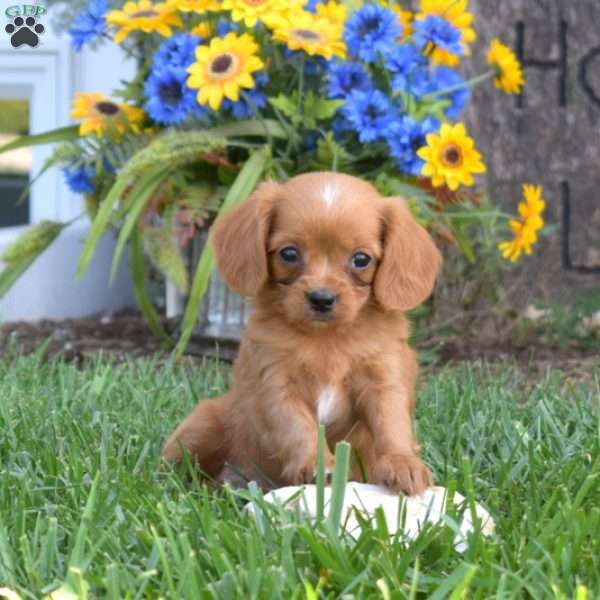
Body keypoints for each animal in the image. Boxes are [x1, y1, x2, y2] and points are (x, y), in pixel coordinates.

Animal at [162, 171, 442, 494]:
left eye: (361, 259)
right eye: (289, 253)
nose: (321, 298)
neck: (327, 339)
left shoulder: (383, 379)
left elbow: (391, 423)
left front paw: (403, 464)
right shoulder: (277, 386)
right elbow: (299, 427)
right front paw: (320, 466)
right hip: (202, 423)